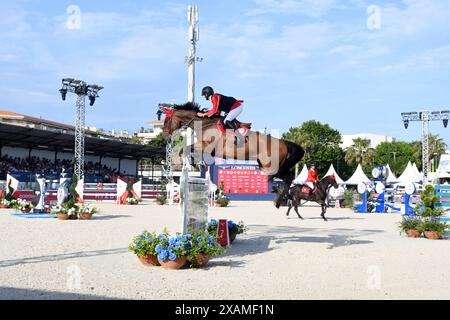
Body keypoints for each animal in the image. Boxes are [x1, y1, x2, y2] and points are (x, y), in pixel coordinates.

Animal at [156, 102, 304, 208]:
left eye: (166, 121)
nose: (165, 138)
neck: (205, 124)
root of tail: (283, 142)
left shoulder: (205, 146)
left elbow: (186, 149)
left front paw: (196, 163)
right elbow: (188, 151)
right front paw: (197, 163)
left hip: (270, 167)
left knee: (289, 176)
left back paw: (280, 201)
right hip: (265, 166)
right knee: (288, 177)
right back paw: (281, 200)